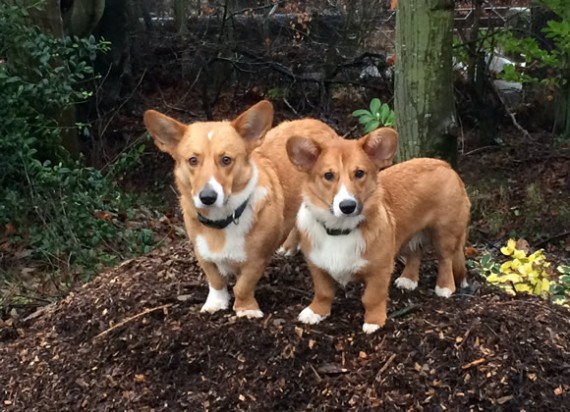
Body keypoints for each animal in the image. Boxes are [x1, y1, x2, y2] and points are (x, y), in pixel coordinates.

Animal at [143, 100, 338, 318]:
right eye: (193, 160)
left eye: (226, 160)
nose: (207, 197)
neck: (221, 222)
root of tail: (317, 122)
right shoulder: (203, 254)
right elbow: (216, 281)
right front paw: (216, 303)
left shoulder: (256, 260)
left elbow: (243, 286)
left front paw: (246, 310)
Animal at [286, 130, 468, 334]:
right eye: (328, 175)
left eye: (359, 173)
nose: (347, 206)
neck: (341, 229)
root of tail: (445, 165)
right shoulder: (317, 266)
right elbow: (323, 292)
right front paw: (316, 312)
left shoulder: (380, 270)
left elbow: (372, 297)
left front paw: (374, 322)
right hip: (408, 234)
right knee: (415, 252)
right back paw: (408, 279)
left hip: (445, 233)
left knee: (445, 260)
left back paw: (444, 287)